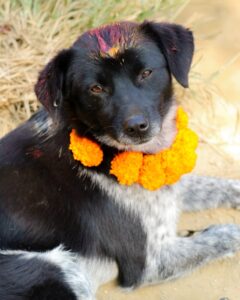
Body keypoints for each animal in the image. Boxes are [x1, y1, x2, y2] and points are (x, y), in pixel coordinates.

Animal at [0, 21, 240, 300]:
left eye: (146, 73)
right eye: (96, 88)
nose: (136, 127)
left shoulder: (170, 188)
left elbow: (214, 185)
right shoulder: (149, 264)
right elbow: (224, 235)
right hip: (58, 270)